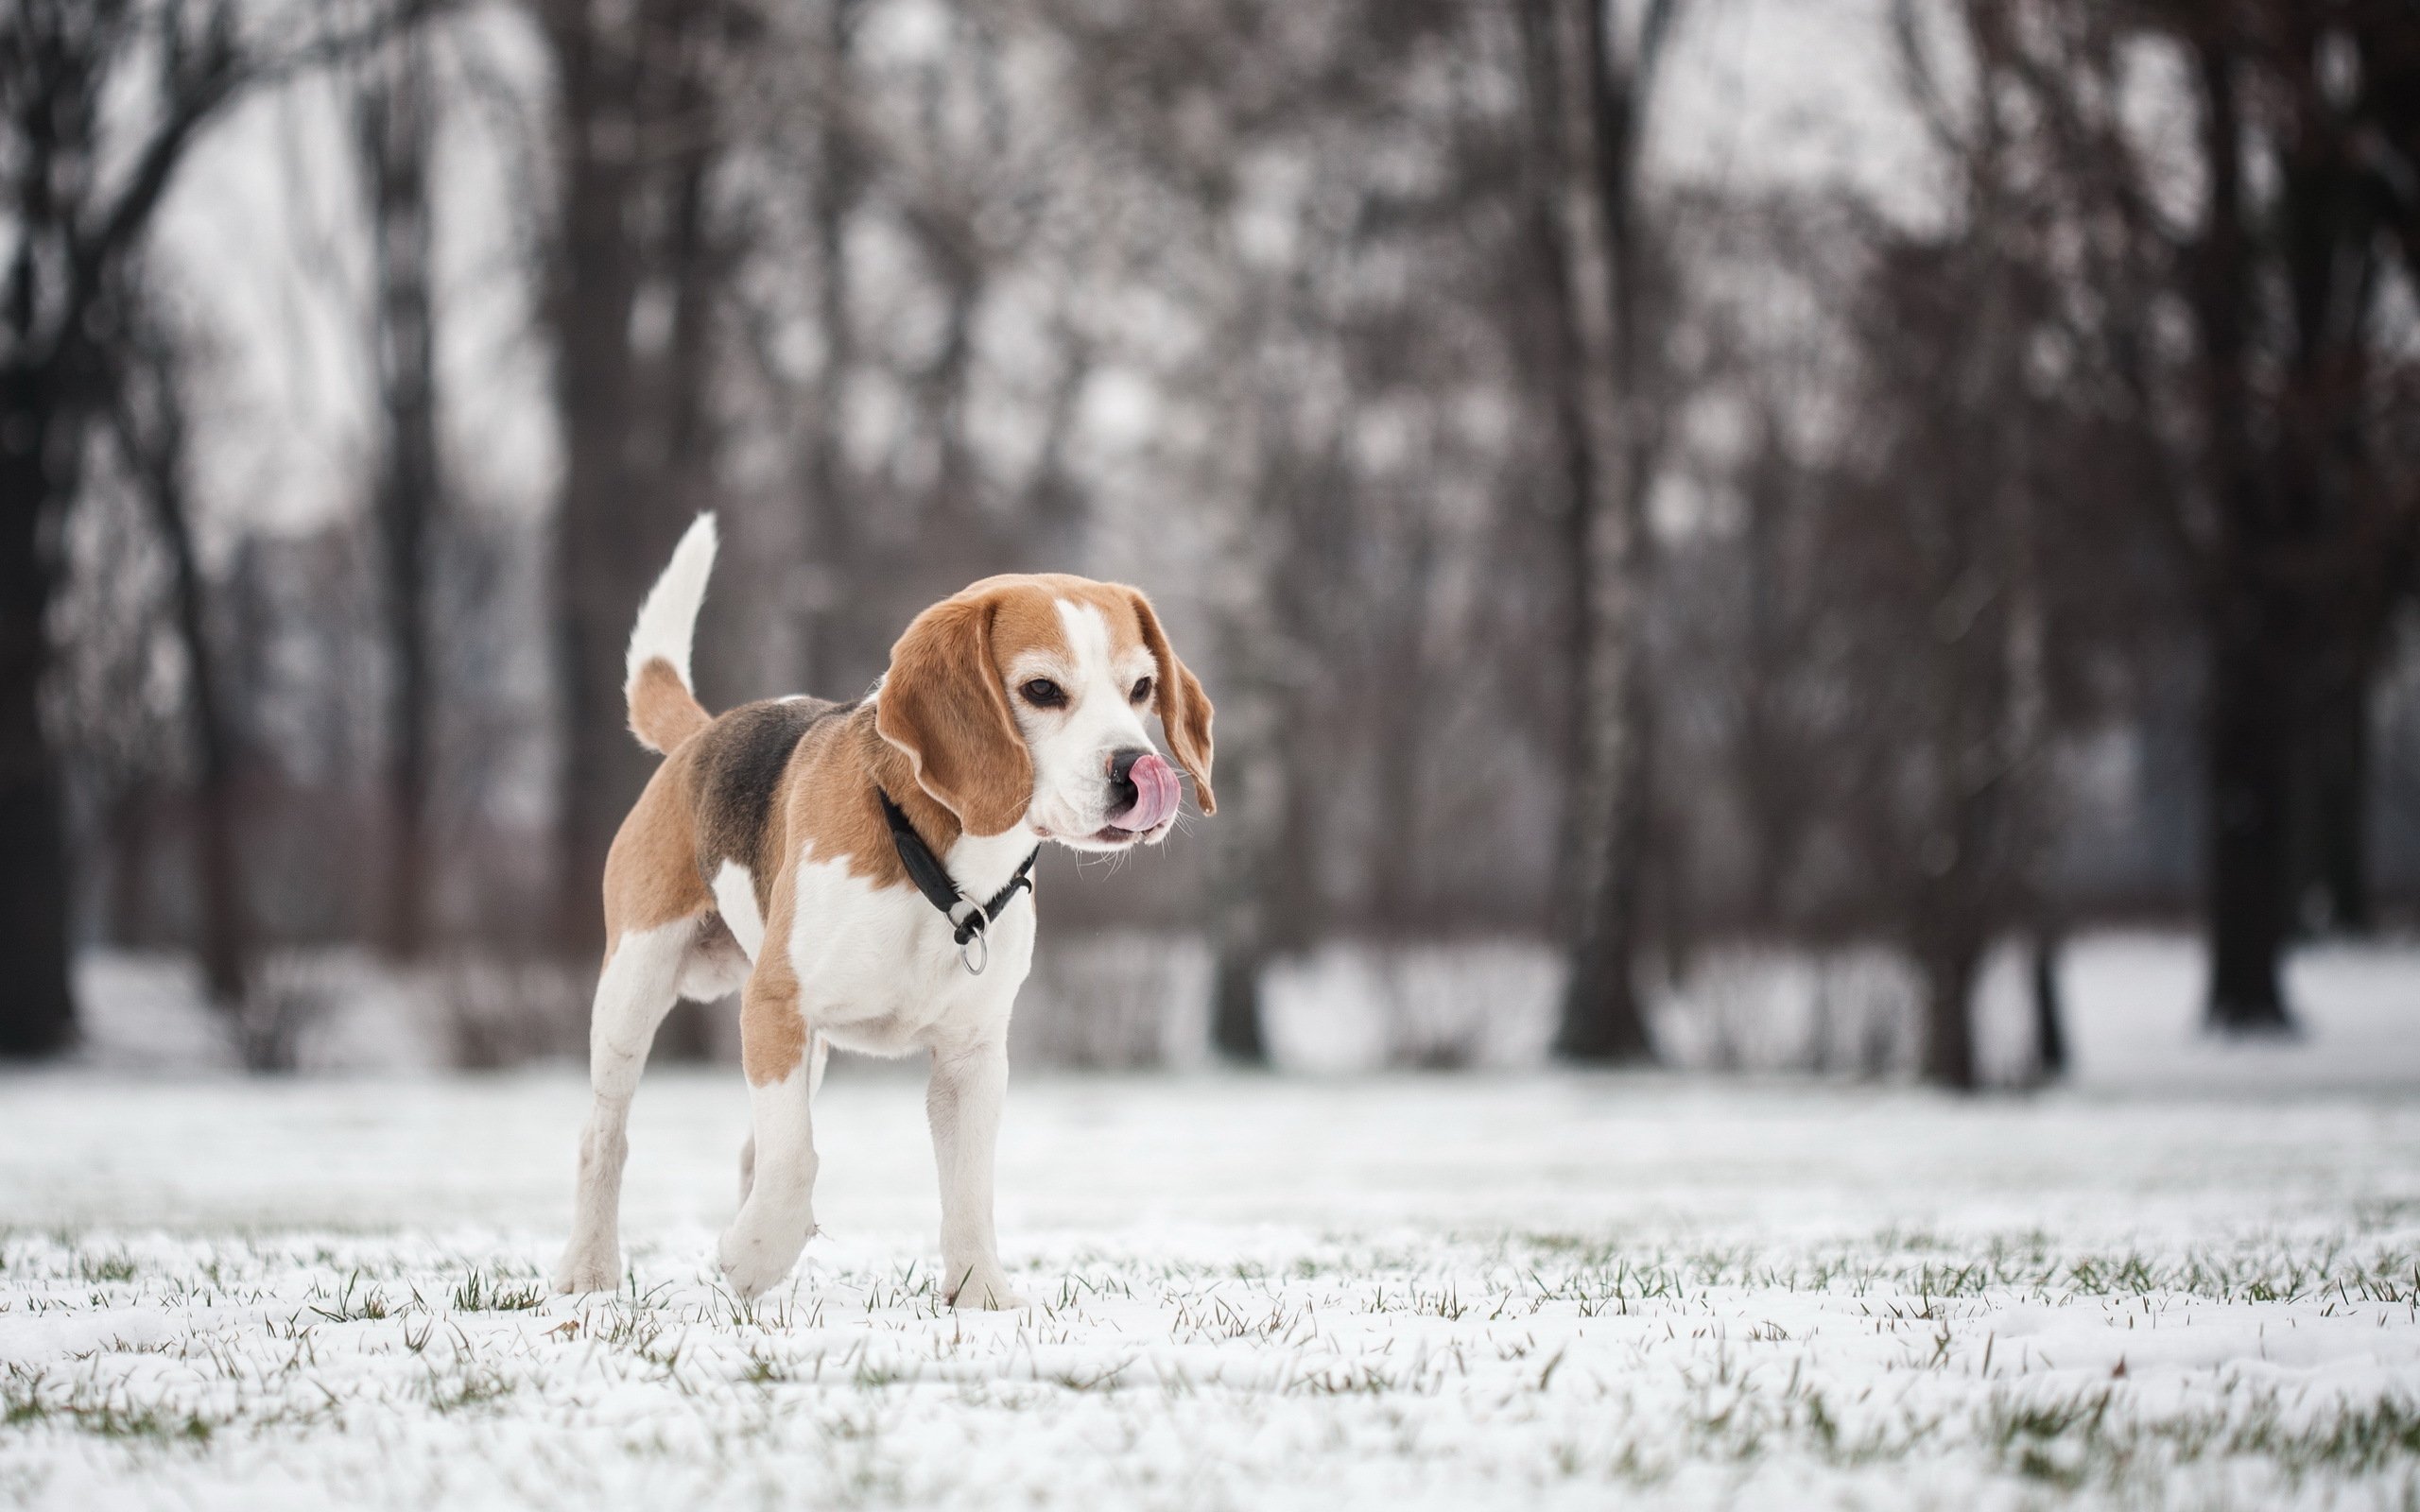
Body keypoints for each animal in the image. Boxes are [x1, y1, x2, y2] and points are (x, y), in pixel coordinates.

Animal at [556, 512, 1219, 1306]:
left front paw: (980, 1295)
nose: (1136, 771)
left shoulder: (972, 1056)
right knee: (606, 1134)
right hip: (635, 985)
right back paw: (591, 1268)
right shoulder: (775, 1006)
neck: (941, 866)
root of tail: (701, 735)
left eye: (1141, 687)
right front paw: (752, 1253)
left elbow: (968, 1191)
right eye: (1042, 689)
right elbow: (796, 1160)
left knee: (753, 1146)